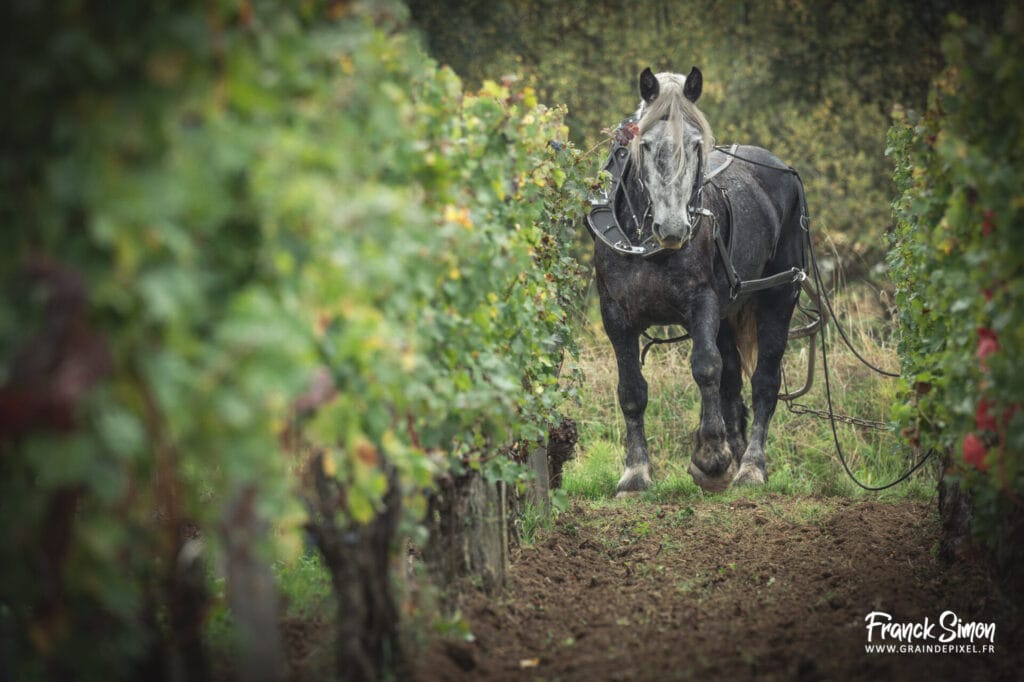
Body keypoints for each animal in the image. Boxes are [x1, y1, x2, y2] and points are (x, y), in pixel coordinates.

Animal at [591, 67, 807, 495]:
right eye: (645, 145)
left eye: (695, 145)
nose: (674, 229)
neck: (648, 246)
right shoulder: (615, 315)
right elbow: (631, 390)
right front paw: (635, 473)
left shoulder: (702, 302)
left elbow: (705, 368)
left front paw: (711, 459)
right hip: (728, 312)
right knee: (732, 380)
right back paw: (735, 451)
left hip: (779, 293)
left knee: (763, 381)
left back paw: (750, 466)